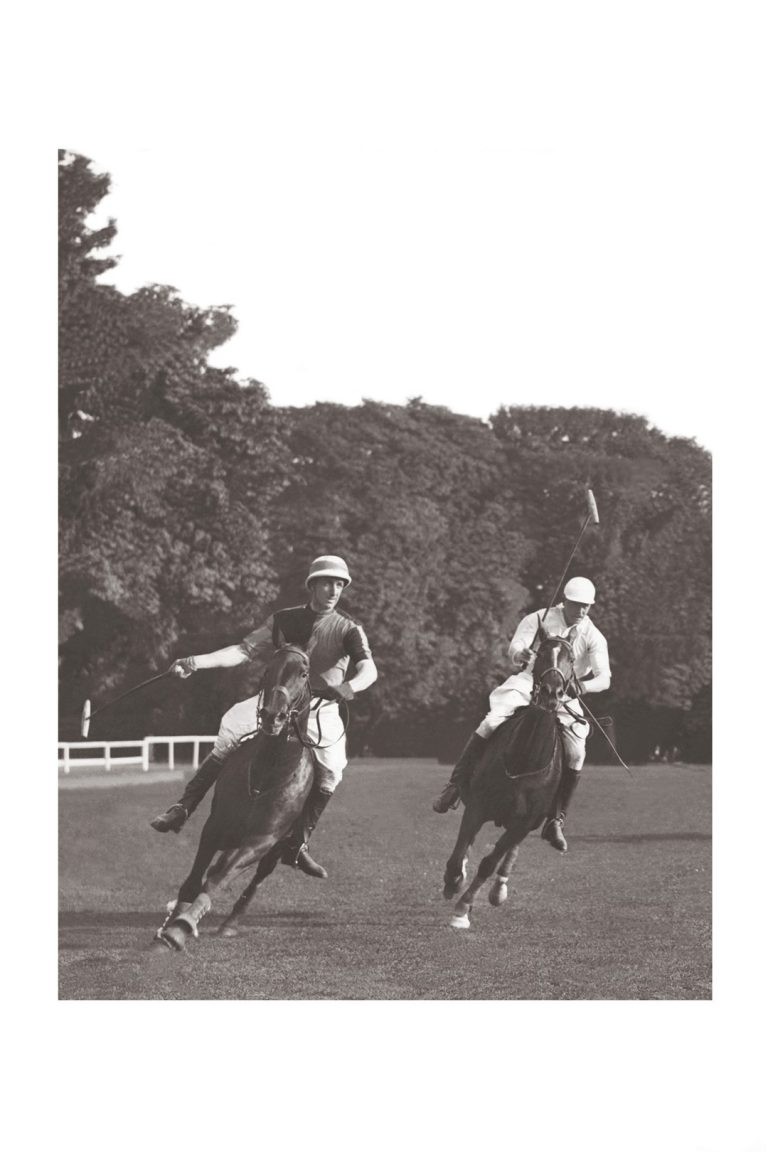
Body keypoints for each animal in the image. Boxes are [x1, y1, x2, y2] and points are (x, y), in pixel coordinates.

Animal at [154, 649, 317, 953]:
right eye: (268, 668)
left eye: (303, 673)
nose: (272, 716)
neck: (267, 771)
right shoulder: (214, 827)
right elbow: (195, 880)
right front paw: (170, 926)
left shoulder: (262, 839)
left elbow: (217, 880)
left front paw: (181, 927)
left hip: (275, 847)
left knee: (255, 878)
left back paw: (230, 924)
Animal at [444, 635, 575, 930]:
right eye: (540, 653)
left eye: (572, 659)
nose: (551, 693)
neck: (524, 758)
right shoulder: (477, 808)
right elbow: (459, 853)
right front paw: (452, 883)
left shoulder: (523, 823)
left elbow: (489, 863)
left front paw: (463, 908)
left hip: (532, 821)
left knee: (510, 851)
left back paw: (499, 889)